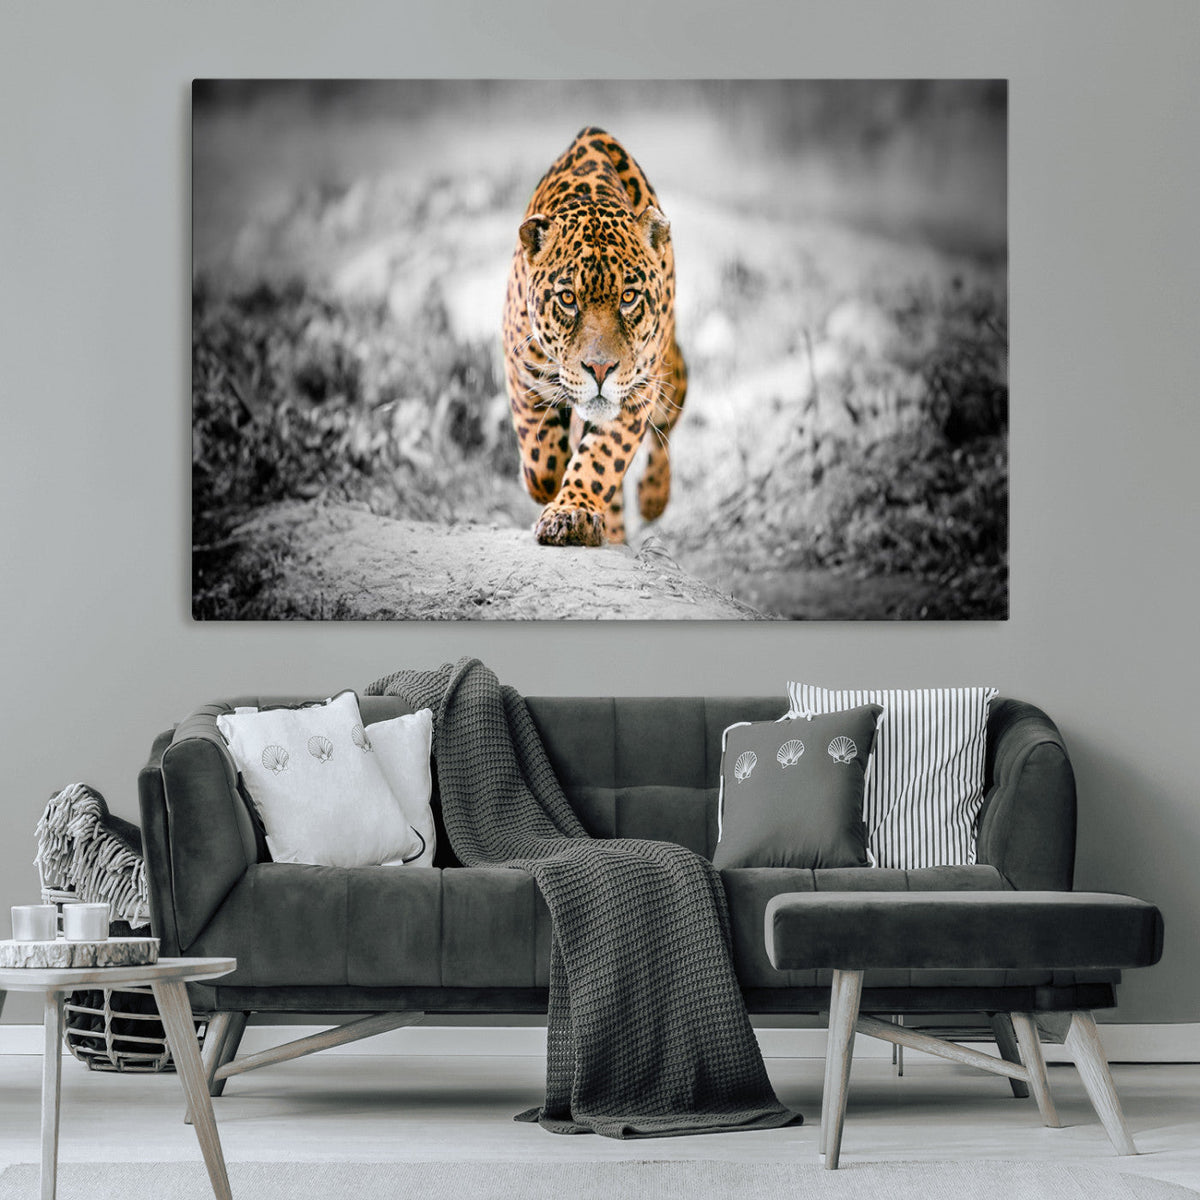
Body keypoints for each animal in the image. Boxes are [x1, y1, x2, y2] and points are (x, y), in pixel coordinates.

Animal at [502, 126, 687, 547]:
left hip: (669, 374)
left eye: (629, 297)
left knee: (666, 427)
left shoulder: (638, 390)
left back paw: (652, 498)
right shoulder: (521, 368)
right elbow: (540, 458)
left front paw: (572, 513)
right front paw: (547, 485)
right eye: (568, 299)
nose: (600, 369)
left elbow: (601, 458)